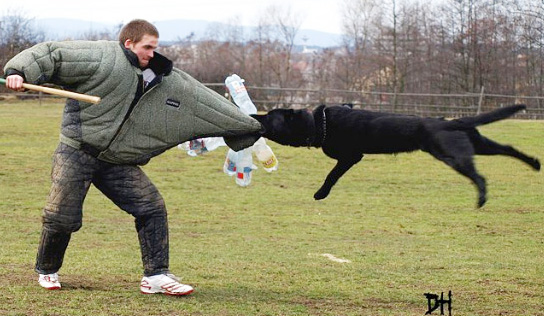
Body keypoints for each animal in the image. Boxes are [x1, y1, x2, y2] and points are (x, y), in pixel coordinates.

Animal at [253, 104, 540, 207]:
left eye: (270, 116)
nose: (256, 115)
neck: (318, 123)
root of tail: (454, 122)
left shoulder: (351, 157)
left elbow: (332, 175)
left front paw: (320, 194)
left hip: (452, 155)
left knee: (479, 177)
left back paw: (481, 199)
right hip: (479, 144)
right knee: (509, 148)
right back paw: (535, 164)